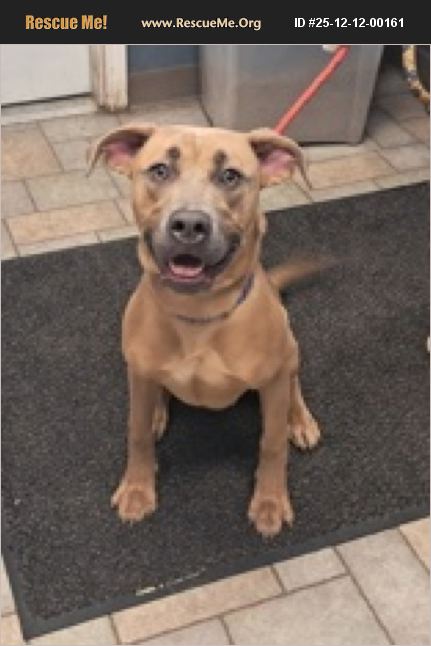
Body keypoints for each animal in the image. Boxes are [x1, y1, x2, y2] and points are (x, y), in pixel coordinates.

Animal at [89, 124, 322, 537]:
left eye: (230, 176)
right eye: (160, 170)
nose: (189, 225)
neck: (197, 314)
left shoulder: (273, 380)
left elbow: (272, 442)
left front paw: (270, 501)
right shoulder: (137, 372)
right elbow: (136, 433)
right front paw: (137, 488)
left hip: (290, 350)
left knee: (294, 384)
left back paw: (300, 420)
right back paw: (157, 412)